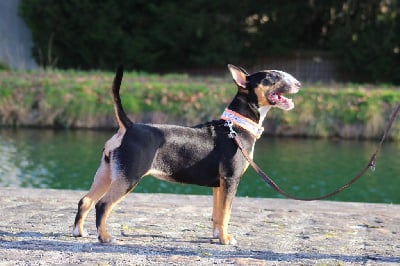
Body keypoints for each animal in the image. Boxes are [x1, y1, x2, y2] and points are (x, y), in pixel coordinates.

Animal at [72, 64, 300, 245]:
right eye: (271, 77)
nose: (298, 84)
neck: (236, 126)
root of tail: (128, 127)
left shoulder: (219, 184)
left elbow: (218, 214)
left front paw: (217, 236)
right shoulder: (230, 179)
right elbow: (226, 213)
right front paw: (225, 239)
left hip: (106, 173)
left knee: (86, 201)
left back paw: (79, 232)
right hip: (128, 177)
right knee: (102, 204)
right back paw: (105, 237)